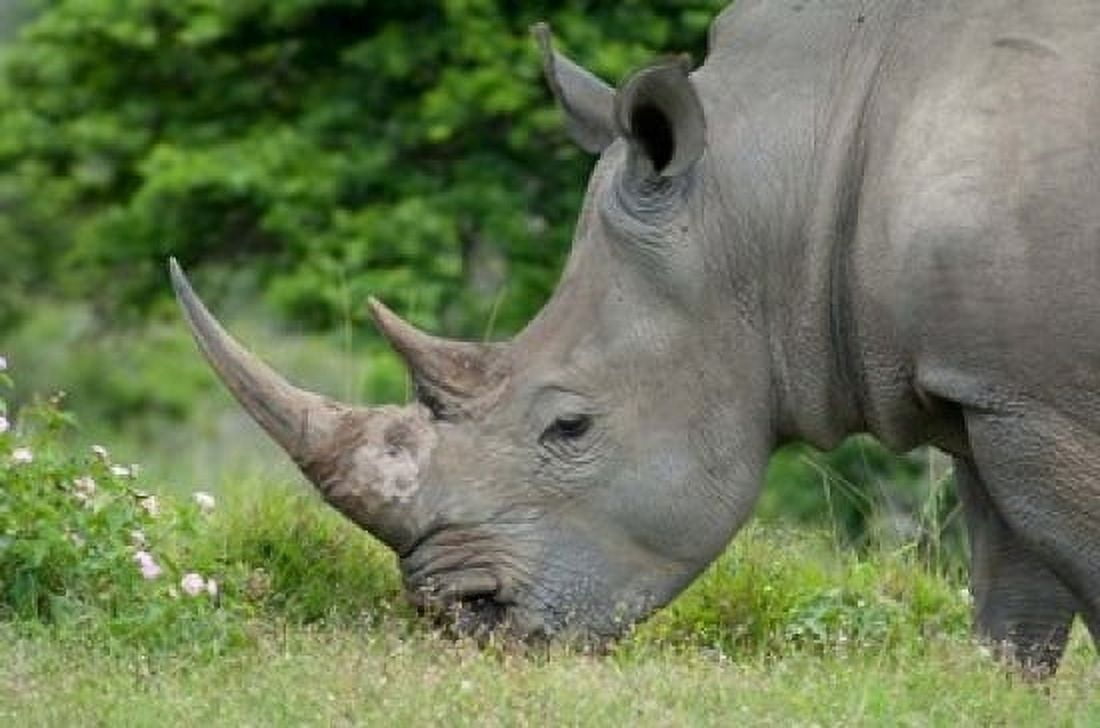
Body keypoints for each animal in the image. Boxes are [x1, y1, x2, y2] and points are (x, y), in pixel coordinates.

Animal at [170, 0, 1100, 673]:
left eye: (570, 426)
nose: (461, 617)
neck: (786, 185)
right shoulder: (989, 383)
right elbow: (1014, 597)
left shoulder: (1037, 400)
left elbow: (1071, 560)